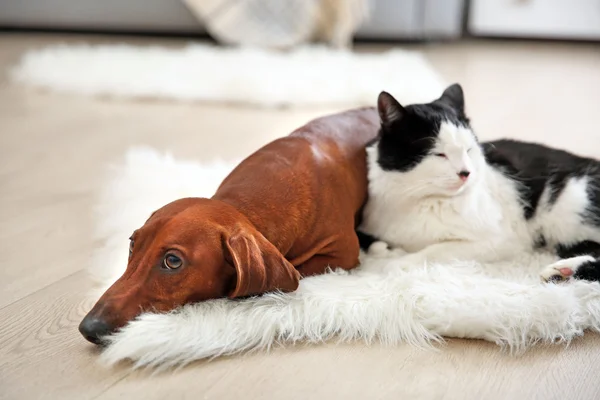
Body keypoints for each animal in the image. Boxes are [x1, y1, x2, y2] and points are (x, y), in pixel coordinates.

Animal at [356, 83, 600, 282]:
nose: (466, 172)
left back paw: (563, 270)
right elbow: (372, 244)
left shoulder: (502, 239)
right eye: (439, 154)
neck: (418, 200)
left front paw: (398, 263)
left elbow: (437, 250)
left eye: (469, 149)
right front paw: (389, 251)